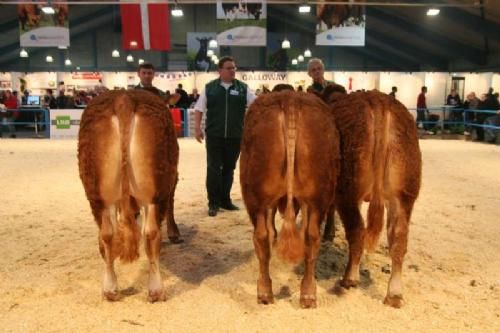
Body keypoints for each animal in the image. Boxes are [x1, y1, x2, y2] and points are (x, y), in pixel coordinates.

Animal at [78, 89, 180, 300]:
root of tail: (123, 98)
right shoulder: (173, 179)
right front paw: (174, 233)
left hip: (96, 191)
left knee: (107, 233)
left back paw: (110, 288)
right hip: (156, 189)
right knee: (151, 233)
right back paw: (156, 290)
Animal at [239, 90, 340, 306]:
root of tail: (290, 99)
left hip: (256, 198)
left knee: (263, 236)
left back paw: (266, 292)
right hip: (315, 197)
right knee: (310, 237)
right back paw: (307, 294)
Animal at [320, 87, 422, 308]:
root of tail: (379, 101)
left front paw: (328, 234)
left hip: (348, 189)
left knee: (357, 232)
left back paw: (349, 278)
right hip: (404, 193)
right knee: (399, 239)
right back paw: (394, 294)